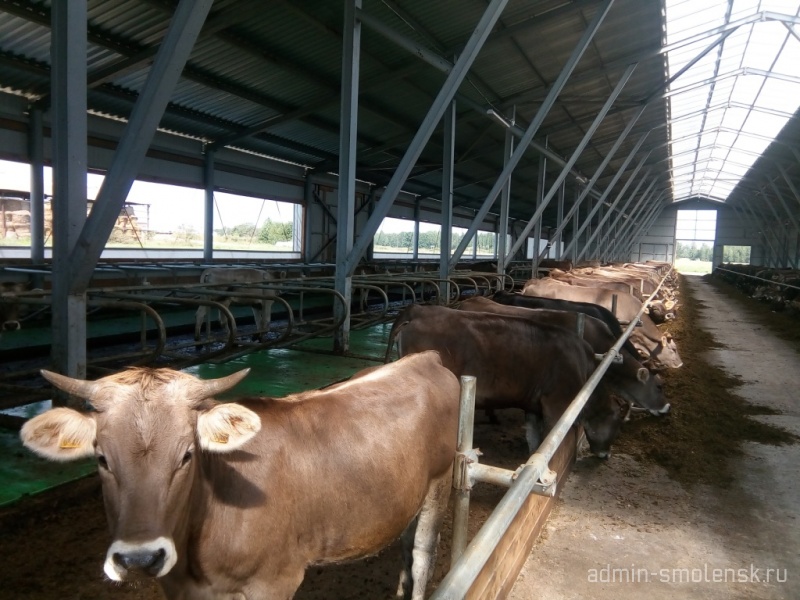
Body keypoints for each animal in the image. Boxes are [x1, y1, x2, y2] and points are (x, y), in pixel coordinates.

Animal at [21, 352, 460, 600]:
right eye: (101, 459)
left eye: (187, 454)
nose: (139, 558)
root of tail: (425, 358)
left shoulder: (276, 581)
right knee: (405, 540)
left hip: (440, 481)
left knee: (423, 553)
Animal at [384, 308, 628, 458]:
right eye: (617, 424)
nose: (606, 455)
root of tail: (420, 310)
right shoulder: (556, 404)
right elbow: (550, 440)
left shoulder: (534, 404)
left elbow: (534, 438)